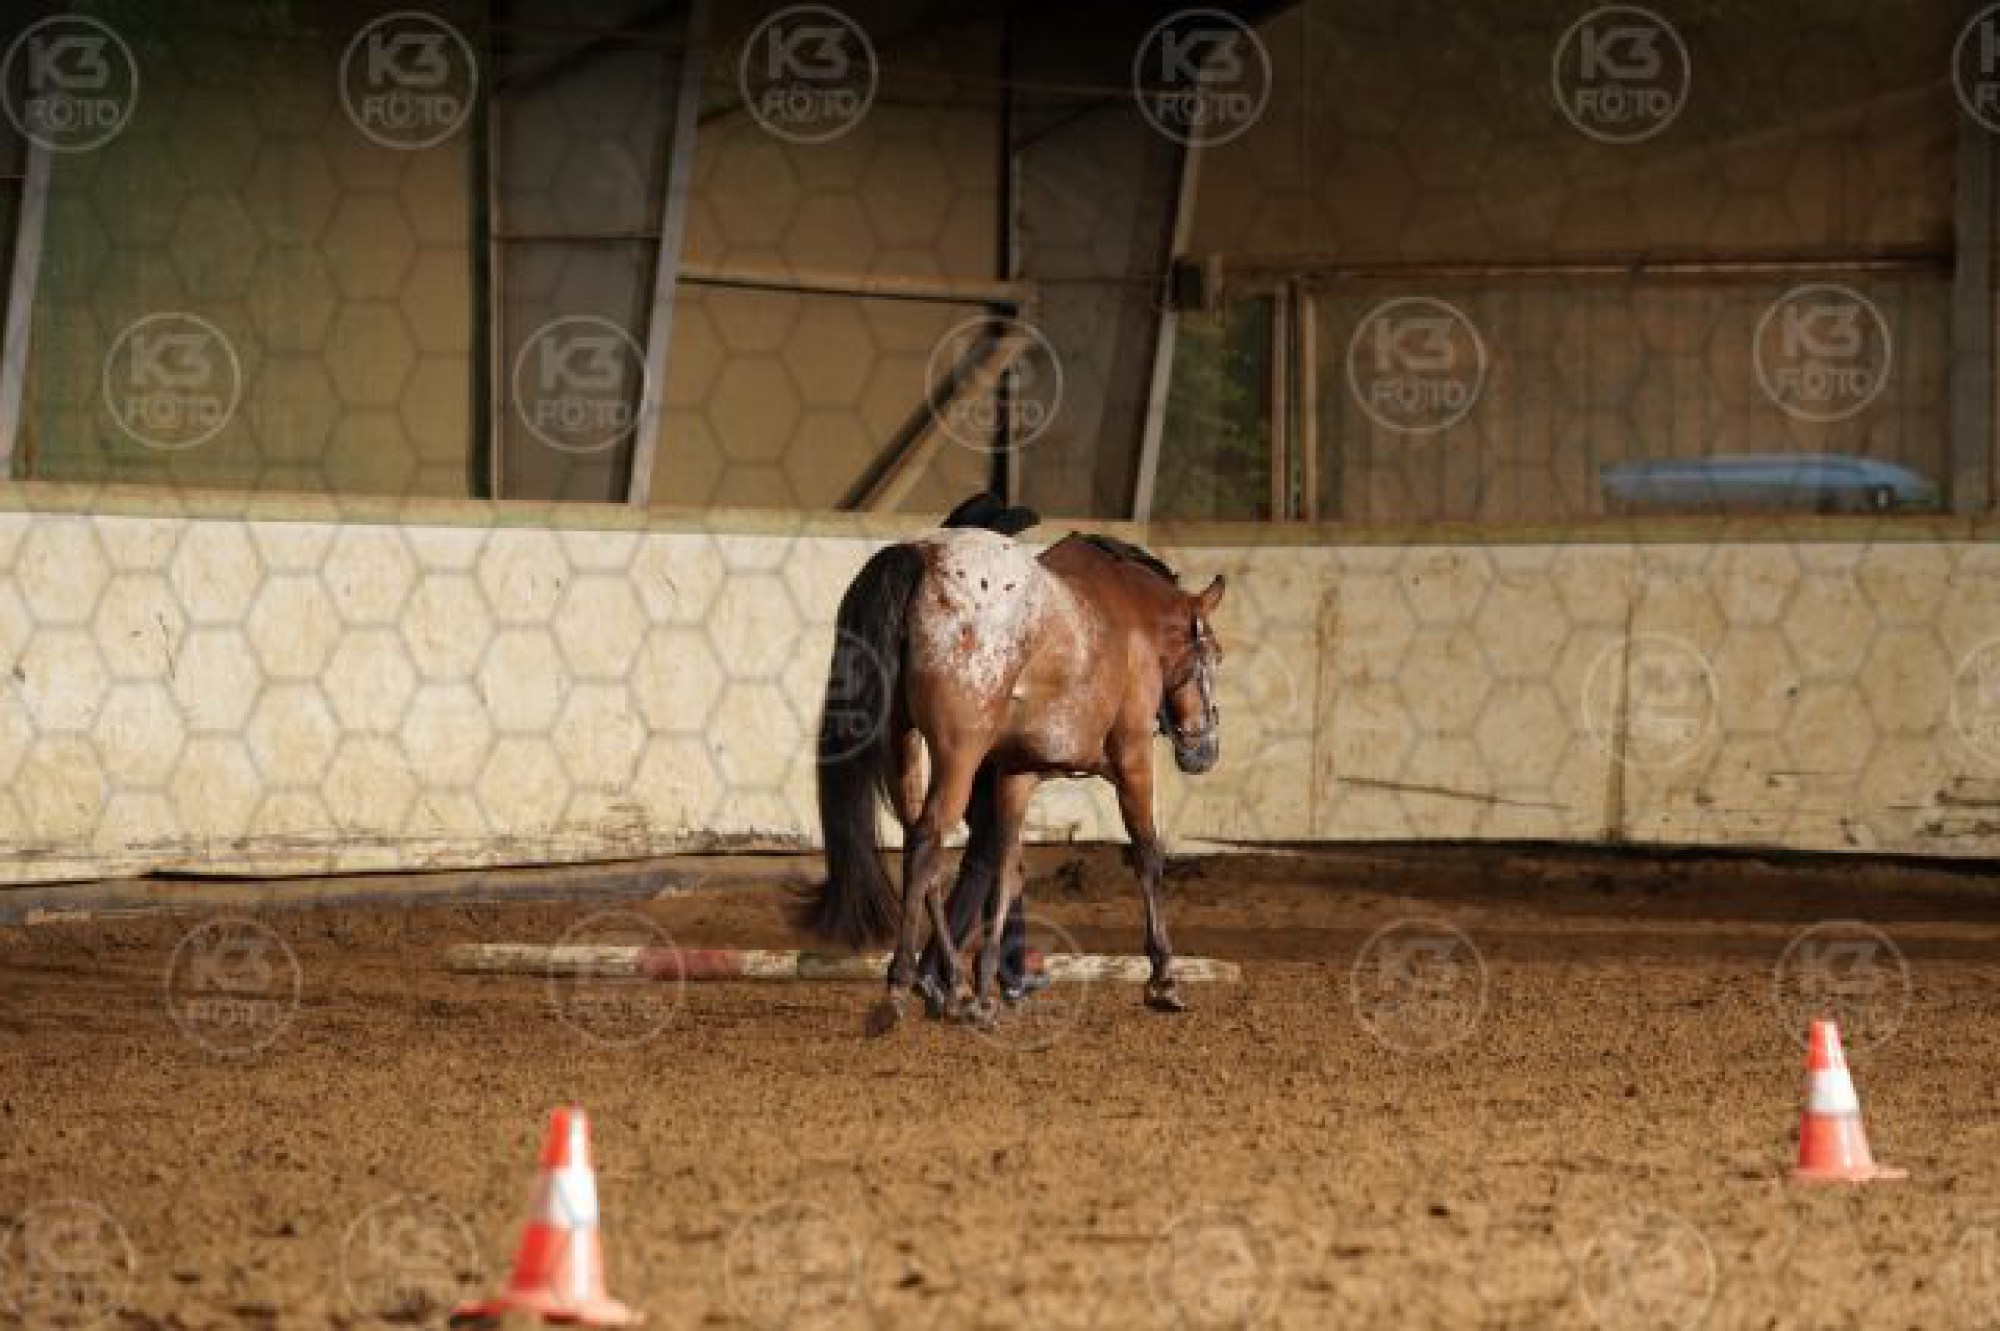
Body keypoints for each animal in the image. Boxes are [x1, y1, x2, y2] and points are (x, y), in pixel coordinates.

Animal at [801, 518, 1226, 1031]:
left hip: (904, 744)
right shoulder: (1131, 760)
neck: (1130, 619)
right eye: (1212, 657)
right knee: (926, 842)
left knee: (924, 848)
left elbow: (1006, 872)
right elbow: (1147, 856)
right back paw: (902, 985)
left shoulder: (1015, 775)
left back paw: (954, 986)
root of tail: (923, 556)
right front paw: (1163, 977)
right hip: (958, 756)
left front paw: (989, 987)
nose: (1204, 750)